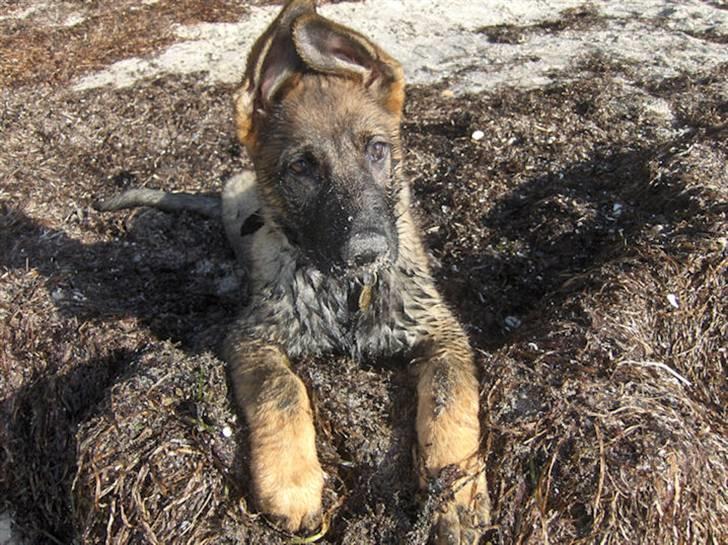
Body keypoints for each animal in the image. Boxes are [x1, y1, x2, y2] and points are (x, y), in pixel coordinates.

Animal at [94, 2, 486, 540]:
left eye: (377, 150)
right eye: (302, 168)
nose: (368, 251)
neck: (345, 292)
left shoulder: (443, 332)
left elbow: (451, 397)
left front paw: (458, 492)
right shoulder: (252, 336)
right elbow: (281, 390)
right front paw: (292, 483)